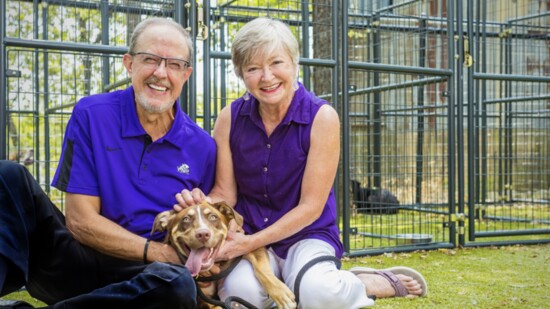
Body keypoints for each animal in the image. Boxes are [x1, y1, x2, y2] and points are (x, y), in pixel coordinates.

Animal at [151, 200, 298, 308]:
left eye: (213, 217)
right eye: (186, 219)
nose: (203, 234)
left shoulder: (248, 244)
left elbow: (262, 269)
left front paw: (281, 294)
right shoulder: (205, 302)